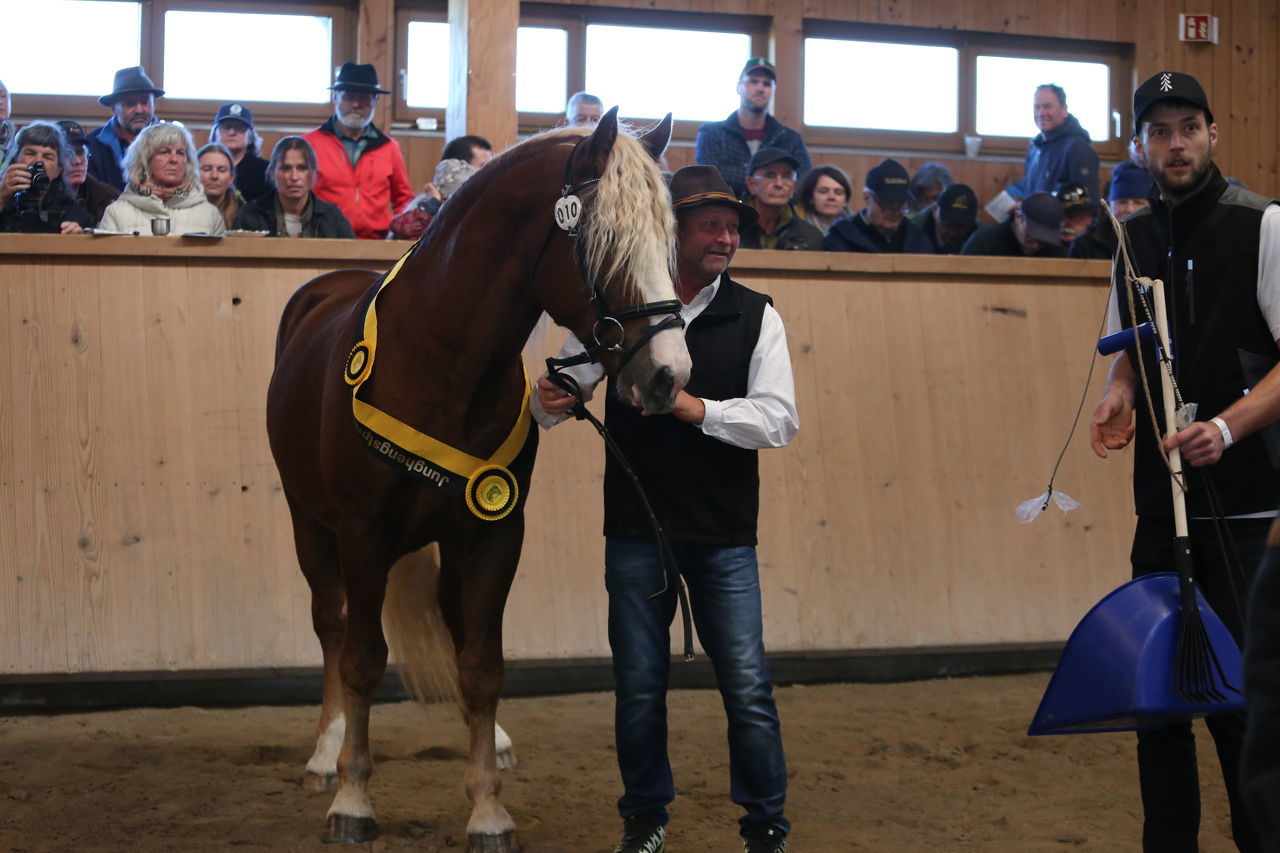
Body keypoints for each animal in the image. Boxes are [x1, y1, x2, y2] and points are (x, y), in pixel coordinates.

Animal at [265, 108, 690, 852]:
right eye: (603, 240)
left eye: (668, 243)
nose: (669, 373)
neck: (440, 361)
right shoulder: (362, 533)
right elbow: (361, 659)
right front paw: (352, 797)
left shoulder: (492, 531)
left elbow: (483, 663)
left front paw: (488, 807)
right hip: (309, 523)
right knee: (331, 623)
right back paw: (325, 752)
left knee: (455, 626)